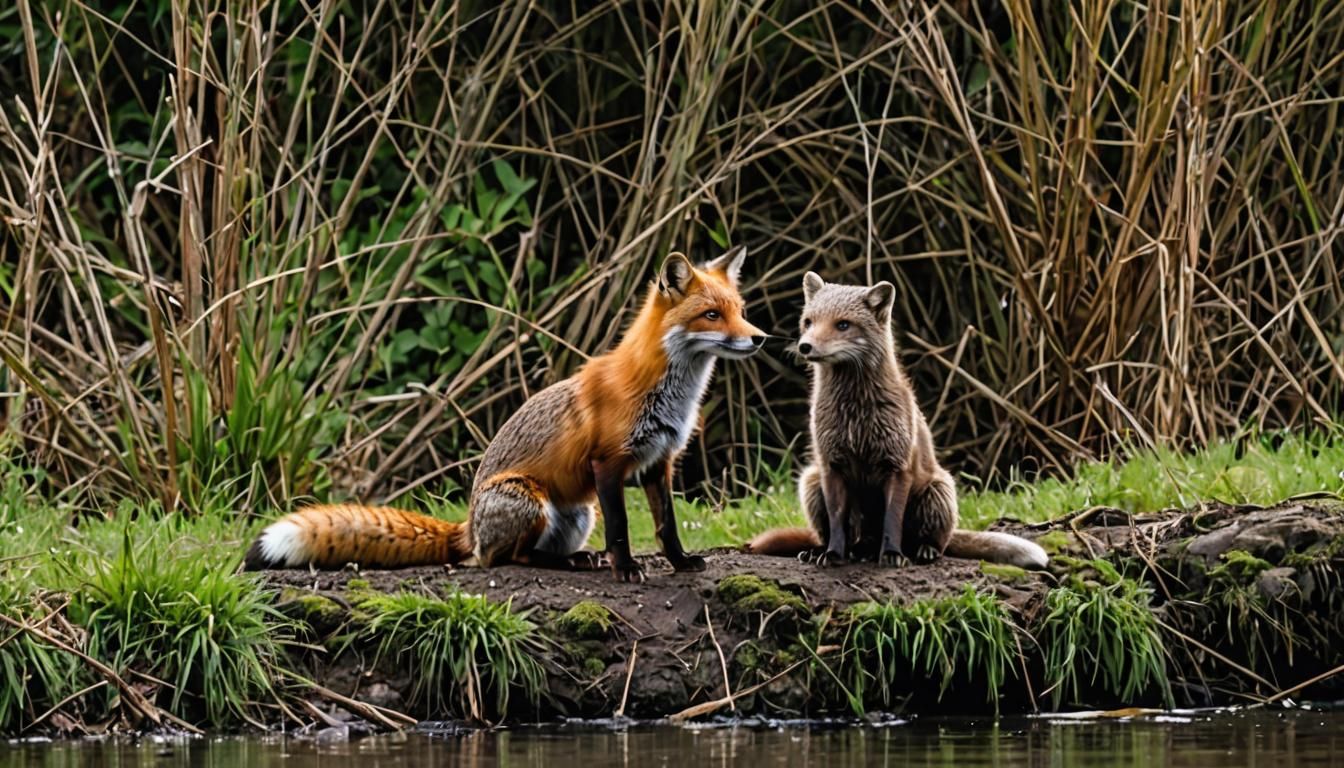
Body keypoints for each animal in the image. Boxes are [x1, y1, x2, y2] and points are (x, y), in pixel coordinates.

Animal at [245, 246, 766, 582]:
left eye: (740, 310)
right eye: (712, 315)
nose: (760, 338)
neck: (667, 391)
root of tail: (468, 527)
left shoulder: (660, 461)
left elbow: (667, 527)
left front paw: (680, 564)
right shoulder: (609, 463)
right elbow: (621, 531)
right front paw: (626, 569)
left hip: (579, 512)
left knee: (520, 553)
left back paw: (575, 559)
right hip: (530, 500)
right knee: (503, 560)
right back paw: (563, 563)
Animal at [745, 271, 1047, 570]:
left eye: (843, 324)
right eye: (808, 322)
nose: (805, 346)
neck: (856, 418)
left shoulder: (897, 464)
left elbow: (893, 521)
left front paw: (891, 555)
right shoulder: (831, 464)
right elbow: (837, 524)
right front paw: (832, 555)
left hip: (939, 490)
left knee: (934, 542)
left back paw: (921, 551)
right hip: (811, 481)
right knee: (841, 537)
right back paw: (834, 551)